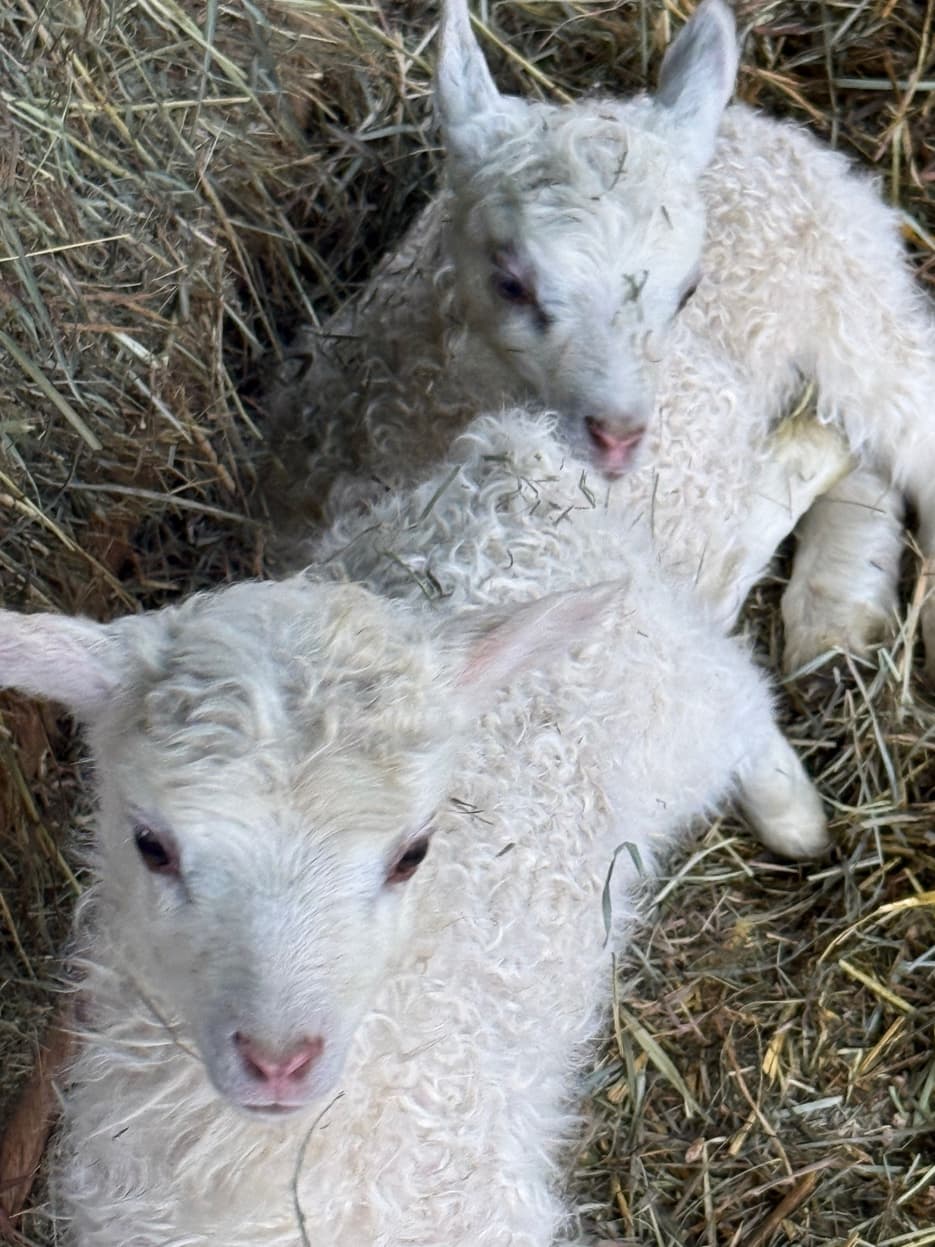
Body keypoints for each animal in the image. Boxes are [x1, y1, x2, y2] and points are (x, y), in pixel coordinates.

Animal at [0, 409, 830, 1246]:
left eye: (411, 854)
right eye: (152, 845)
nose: (278, 1061)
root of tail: (520, 469)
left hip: (681, 709)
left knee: (741, 688)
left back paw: (793, 811)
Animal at [269, 0, 932, 680]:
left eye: (689, 291)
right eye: (511, 283)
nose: (618, 438)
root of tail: (765, 126)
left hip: (856, 306)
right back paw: (837, 613)